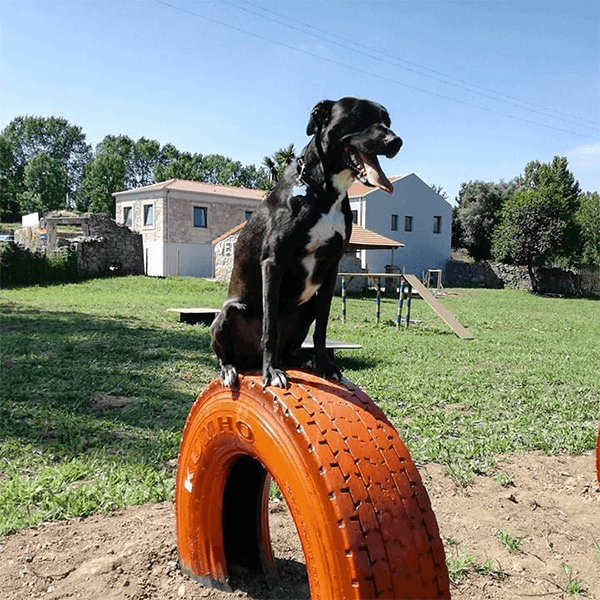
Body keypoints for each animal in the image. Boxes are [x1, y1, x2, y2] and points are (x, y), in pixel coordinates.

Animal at [211, 97, 404, 390]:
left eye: (387, 120)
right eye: (359, 116)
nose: (396, 141)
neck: (325, 192)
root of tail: (250, 360)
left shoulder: (331, 270)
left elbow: (321, 330)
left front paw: (326, 365)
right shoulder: (274, 263)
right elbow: (270, 326)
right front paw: (271, 371)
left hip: (307, 307)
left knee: (292, 349)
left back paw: (304, 360)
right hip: (227, 313)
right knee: (228, 352)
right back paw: (233, 368)